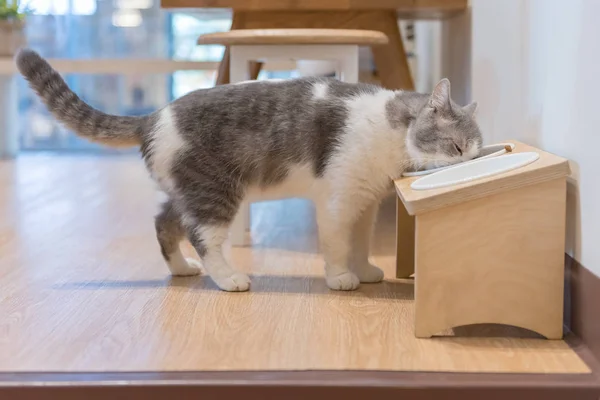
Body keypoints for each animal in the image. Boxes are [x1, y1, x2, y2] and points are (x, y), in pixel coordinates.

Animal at [15, 50, 482, 292]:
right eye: (458, 147)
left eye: (478, 153)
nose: (471, 168)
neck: (390, 134)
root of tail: (154, 116)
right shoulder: (338, 201)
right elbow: (336, 245)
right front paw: (341, 278)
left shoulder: (364, 204)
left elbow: (361, 243)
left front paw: (365, 270)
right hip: (216, 194)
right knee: (204, 238)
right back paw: (227, 278)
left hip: (189, 191)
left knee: (165, 223)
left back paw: (181, 268)